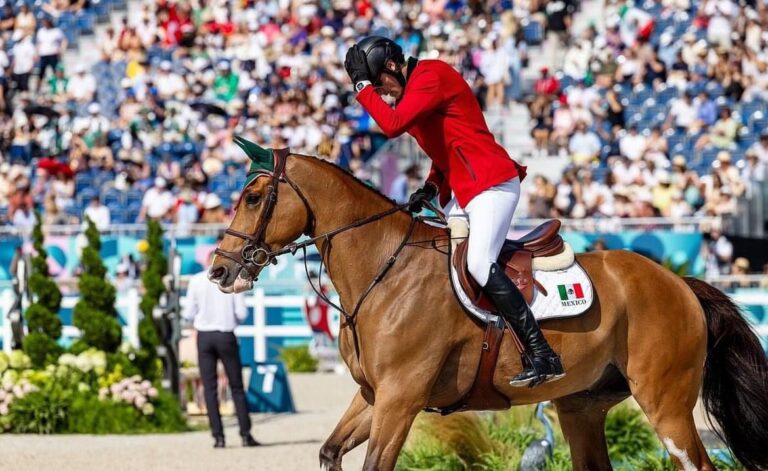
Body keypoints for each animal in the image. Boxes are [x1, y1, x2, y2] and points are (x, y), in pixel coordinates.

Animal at [208, 144, 768, 471]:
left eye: (253, 198)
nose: (218, 271)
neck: (382, 269)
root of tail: (678, 282)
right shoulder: (373, 397)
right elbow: (328, 451)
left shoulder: (399, 401)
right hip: (582, 406)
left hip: (666, 406)